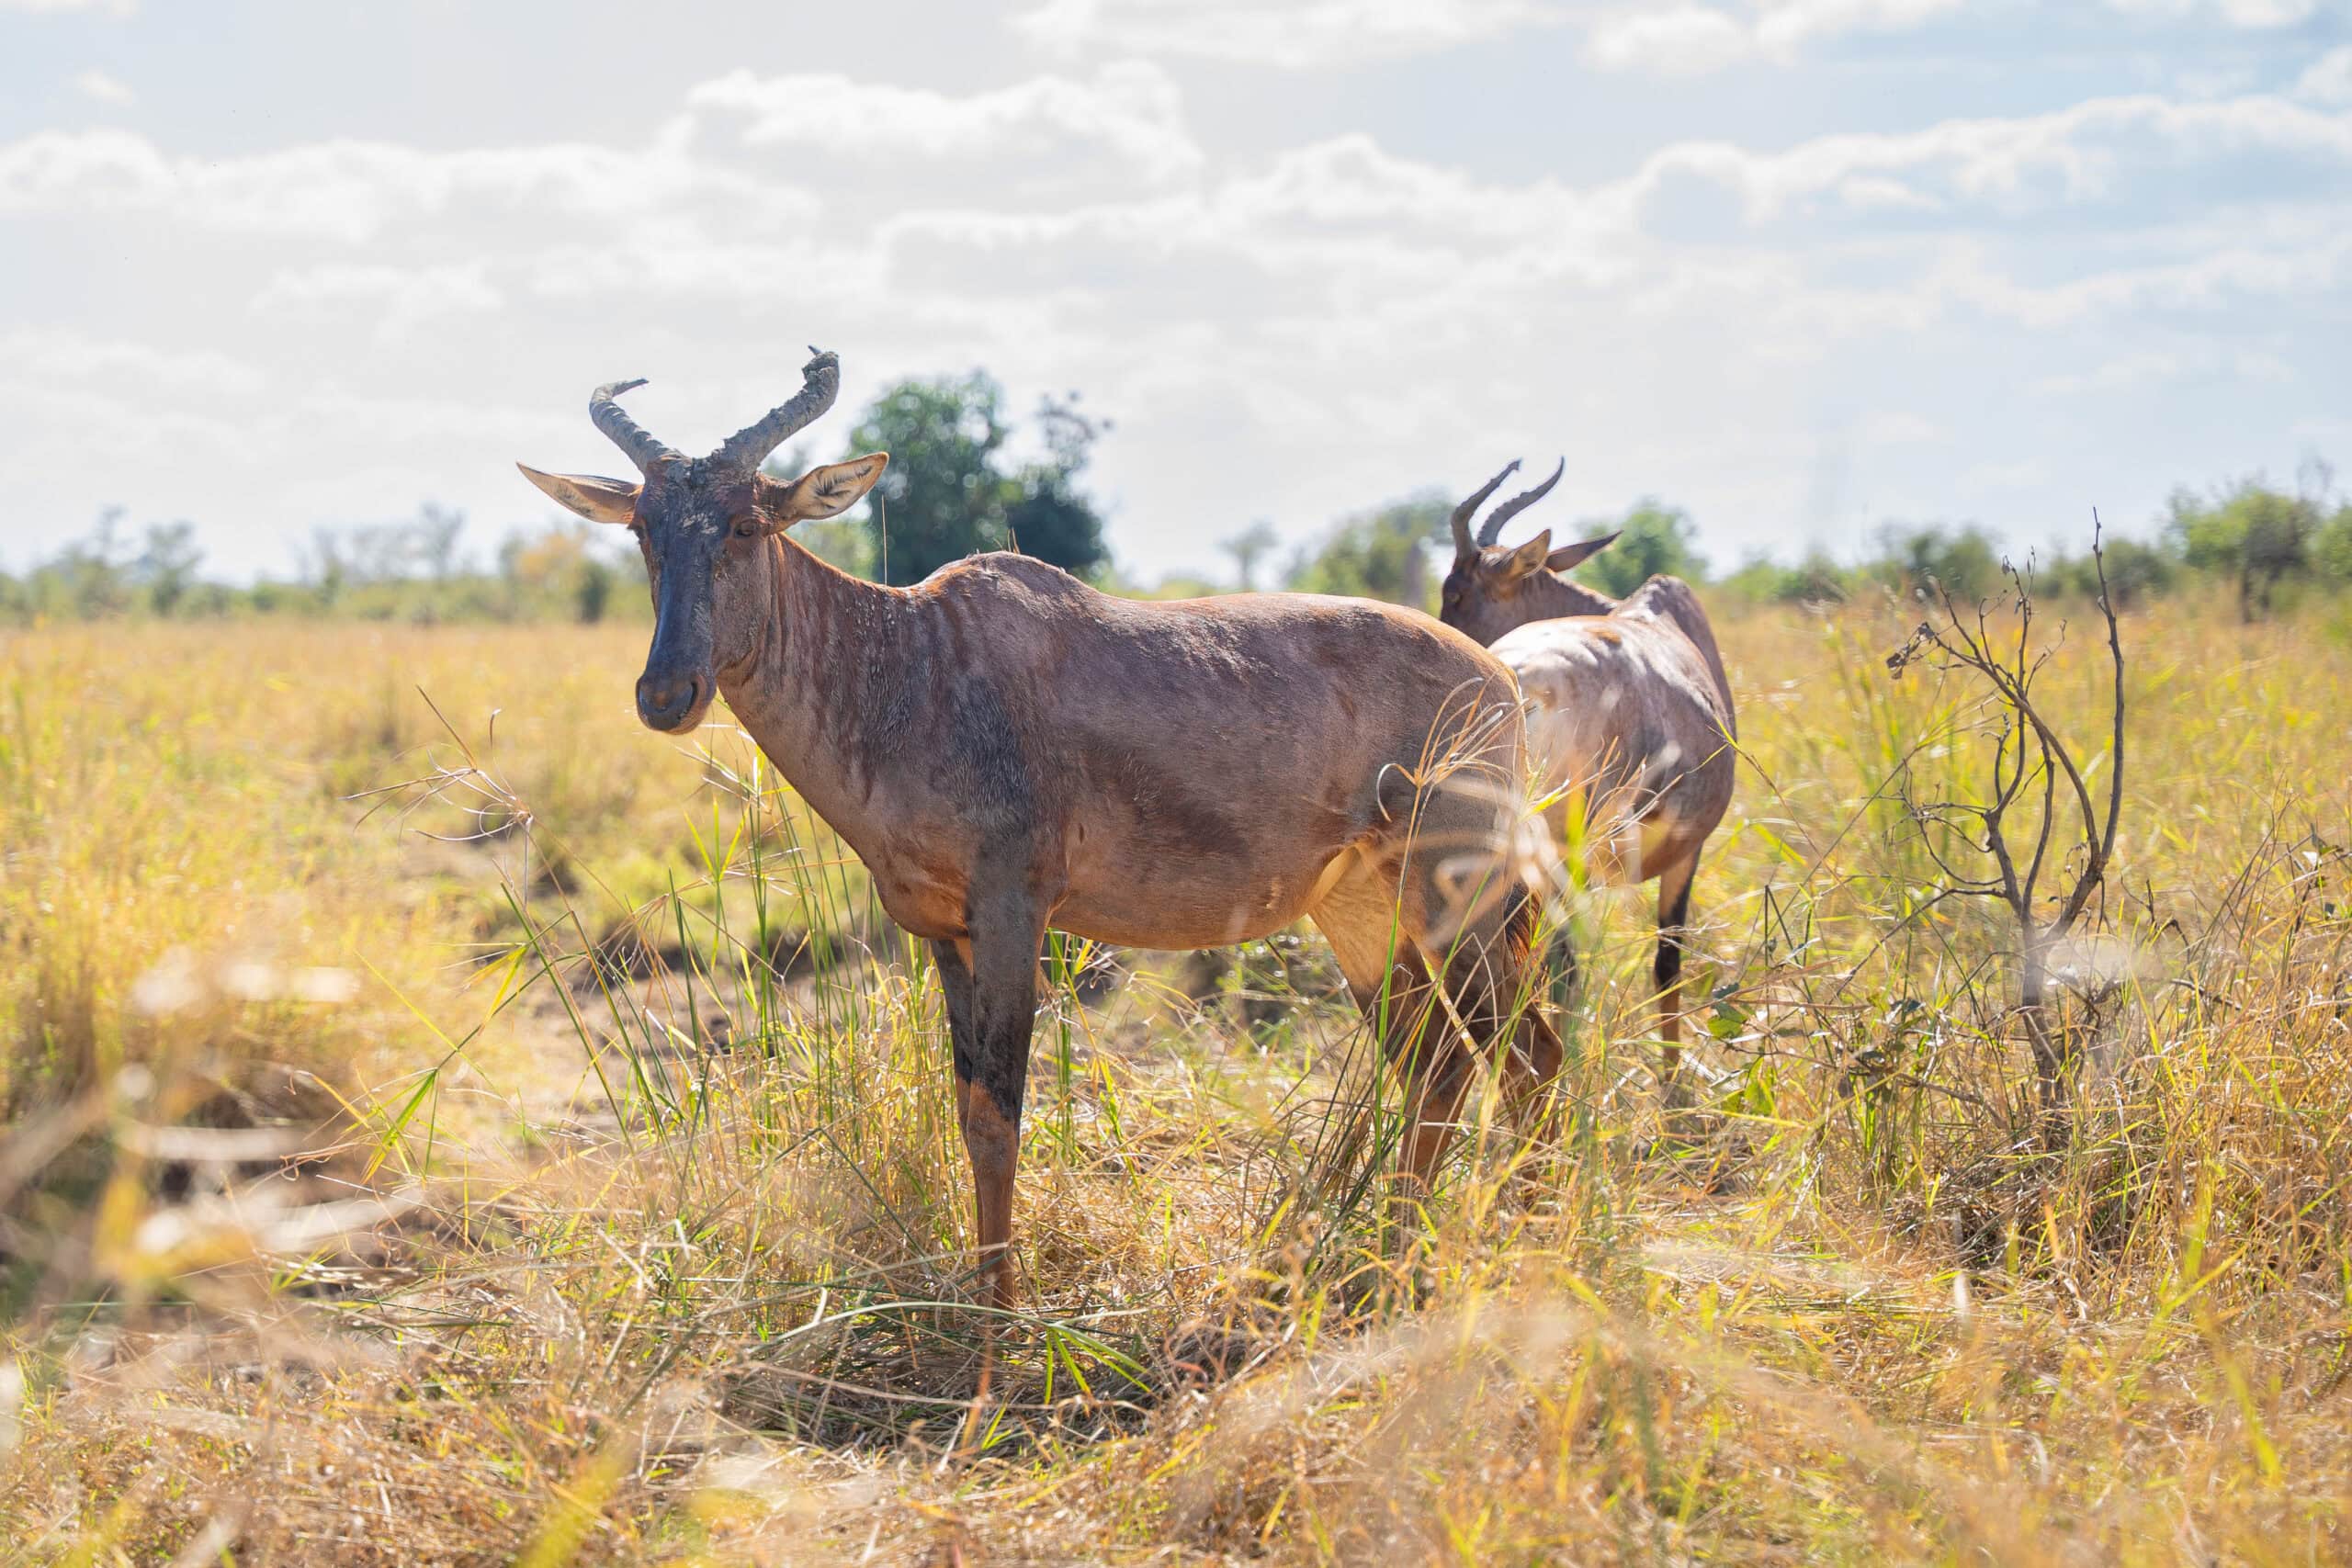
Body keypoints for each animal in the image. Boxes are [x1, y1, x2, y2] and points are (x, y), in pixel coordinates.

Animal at [517, 350, 1563, 1312]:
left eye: (746, 521)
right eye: (643, 528)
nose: (667, 694)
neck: (913, 658)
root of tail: (1499, 681)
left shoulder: (1017, 910)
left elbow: (1002, 1111)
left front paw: (1002, 1318)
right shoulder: (940, 930)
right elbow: (967, 1103)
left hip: (1458, 902)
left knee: (1522, 1053)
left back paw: (1517, 1240)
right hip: (1361, 914)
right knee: (1439, 1062)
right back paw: (1395, 1255)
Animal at [1439, 461, 1737, 1104]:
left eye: (1455, 593)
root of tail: (1519, 681)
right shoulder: (1688, 851)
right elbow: (1666, 965)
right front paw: (1672, 1094)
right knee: (1562, 973)